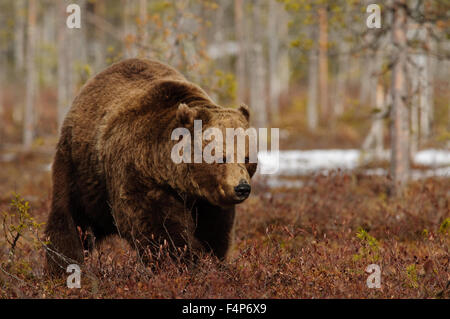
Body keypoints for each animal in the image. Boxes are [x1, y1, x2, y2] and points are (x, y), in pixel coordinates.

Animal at [45, 57, 256, 276]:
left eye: (247, 157)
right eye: (221, 157)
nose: (242, 188)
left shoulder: (206, 200)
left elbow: (215, 231)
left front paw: (210, 259)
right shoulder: (138, 173)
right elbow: (158, 228)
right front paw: (187, 260)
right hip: (81, 170)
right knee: (70, 219)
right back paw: (60, 268)